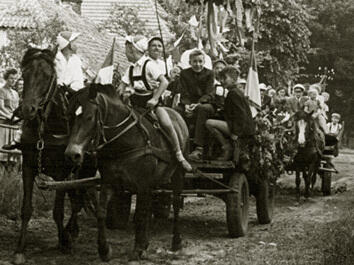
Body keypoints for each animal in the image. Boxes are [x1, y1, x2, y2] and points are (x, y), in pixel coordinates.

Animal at [14, 48, 96, 262]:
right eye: (25, 74)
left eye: (47, 76)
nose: (27, 109)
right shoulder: (28, 167)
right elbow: (26, 209)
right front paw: (20, 248)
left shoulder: (62, 173)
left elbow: (58, 210)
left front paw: (63, 242)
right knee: (76, 199)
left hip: (85, 171)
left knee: (77, 201)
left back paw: (70, 232)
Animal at [65, 84, 187, 260]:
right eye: (69, 116)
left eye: (89, 117)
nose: (72, 154)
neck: (125, 141)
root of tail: (177, 114)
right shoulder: (110, 182)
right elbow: (101, 212)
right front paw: (104, 249)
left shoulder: (142, 184)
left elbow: (140, 214)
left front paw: (138, 249)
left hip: (177, 175)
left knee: (176, 203)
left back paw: (176, 242)